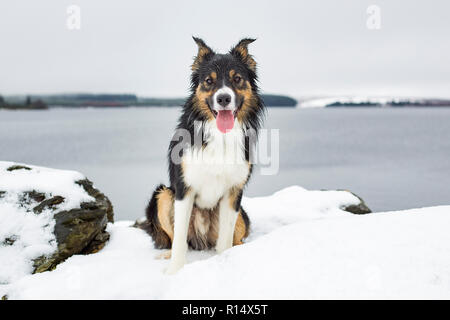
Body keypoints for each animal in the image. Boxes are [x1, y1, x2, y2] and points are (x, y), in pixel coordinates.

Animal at [139, 37, 266, 272]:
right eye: (208, 81)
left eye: (237, 79)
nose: (223, 98)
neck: (219, 136)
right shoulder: (184, 188)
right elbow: (179, 239)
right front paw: (174, 271)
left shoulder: (234, 192)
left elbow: (225, 240)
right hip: (162, 195)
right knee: (175, 238)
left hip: (241, 214)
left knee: (235, 239)